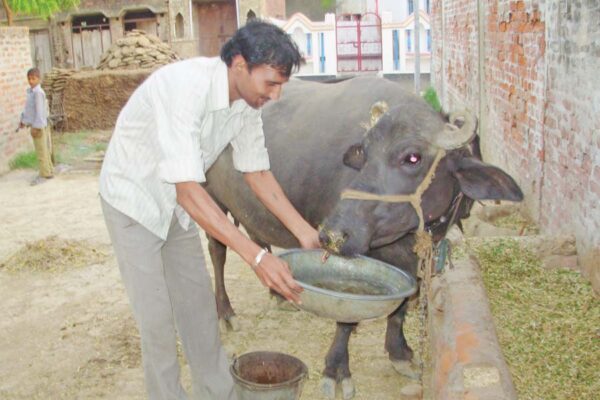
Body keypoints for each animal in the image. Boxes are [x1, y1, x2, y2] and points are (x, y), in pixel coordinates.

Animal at [204, 76, 524, 398]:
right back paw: (225, 313)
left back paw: (278, 294)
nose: (331, 233)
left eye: (413, 157)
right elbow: (346, 320)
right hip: (211, 198)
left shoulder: (408, 265)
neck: (406, 239)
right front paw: (336, 370)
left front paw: (399, 353)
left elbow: (401, 307)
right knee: (217, 253)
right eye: (365, 155)